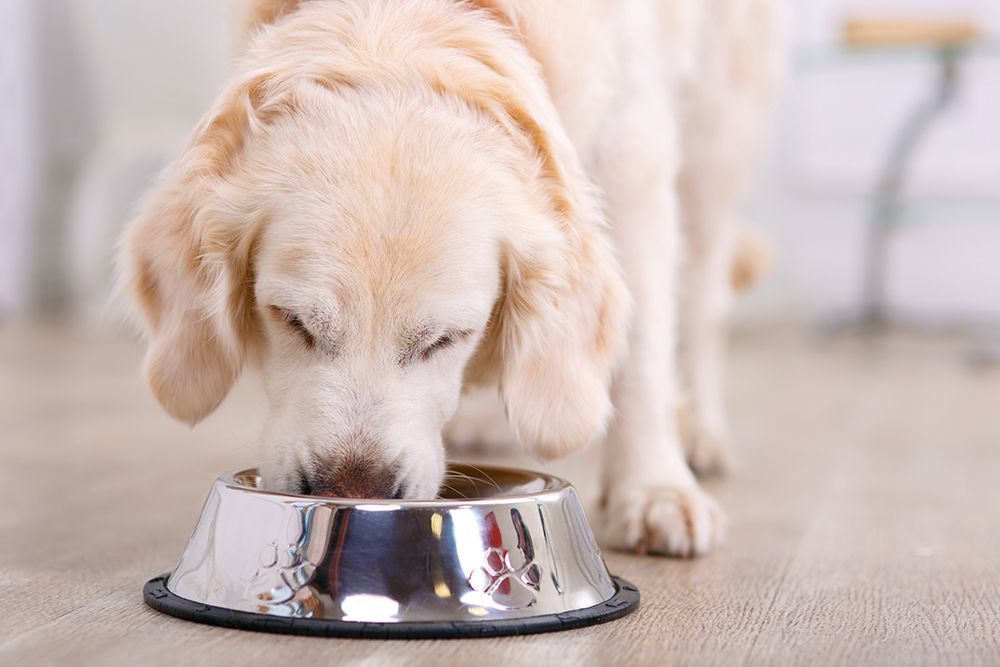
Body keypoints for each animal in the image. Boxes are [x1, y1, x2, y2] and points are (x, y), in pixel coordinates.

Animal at [121, 0, 784, 556]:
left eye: (447, 339)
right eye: (292, 321)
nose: (352, 491)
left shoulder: (633, 146)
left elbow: (644, 345)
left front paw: (653, 490)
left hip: (719, 130)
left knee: (703, 298)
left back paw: (701, 433)